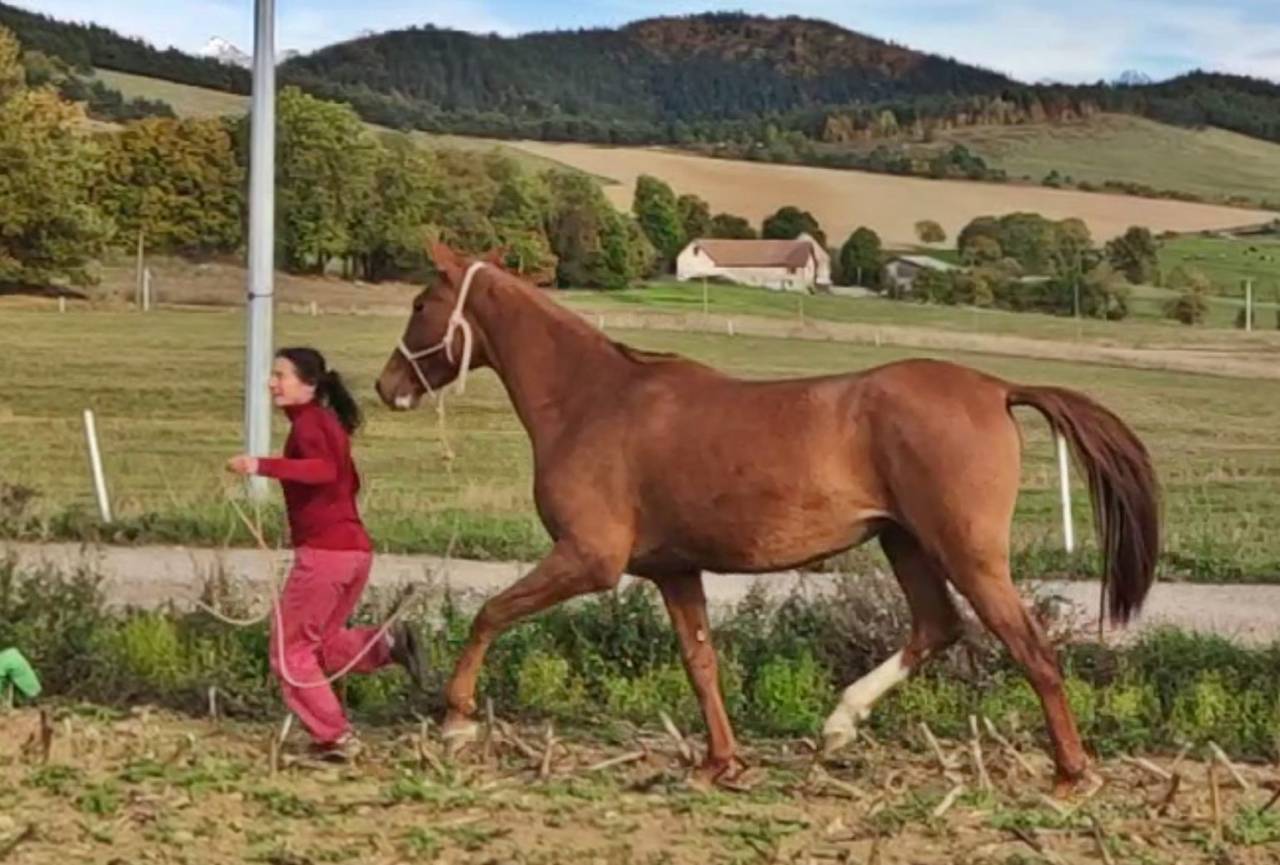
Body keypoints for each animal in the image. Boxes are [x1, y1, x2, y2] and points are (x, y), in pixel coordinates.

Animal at [375, 242, 1160, 794]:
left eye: (418, 303)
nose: (386, 387)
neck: (592, 399)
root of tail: (996, 387)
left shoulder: (590, 558)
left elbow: (491, 613)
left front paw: (455, 720)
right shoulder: (673, 569)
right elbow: (700, 663)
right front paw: (718, 763)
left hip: (967, 552)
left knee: (1031, 649)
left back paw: (1070, 774)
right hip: (905, 542)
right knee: (938, 627)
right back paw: (840, 723)